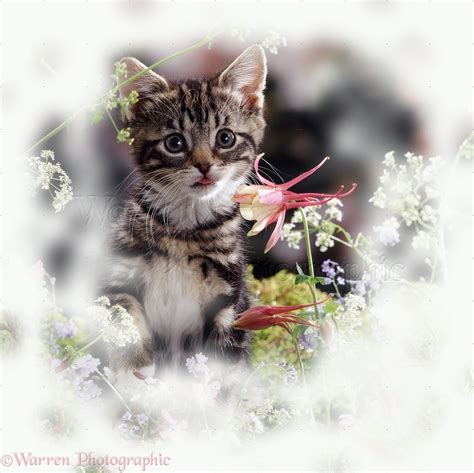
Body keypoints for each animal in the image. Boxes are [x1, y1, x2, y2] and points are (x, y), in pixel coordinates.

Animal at [101, 46, 266, 374]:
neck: (185, 230)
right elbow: (125, 319)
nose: (204, 165)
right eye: (175, 143)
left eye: (225, 138)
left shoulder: (229, 300)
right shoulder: (118, 278)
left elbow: (223, 366)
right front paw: (134, 369)